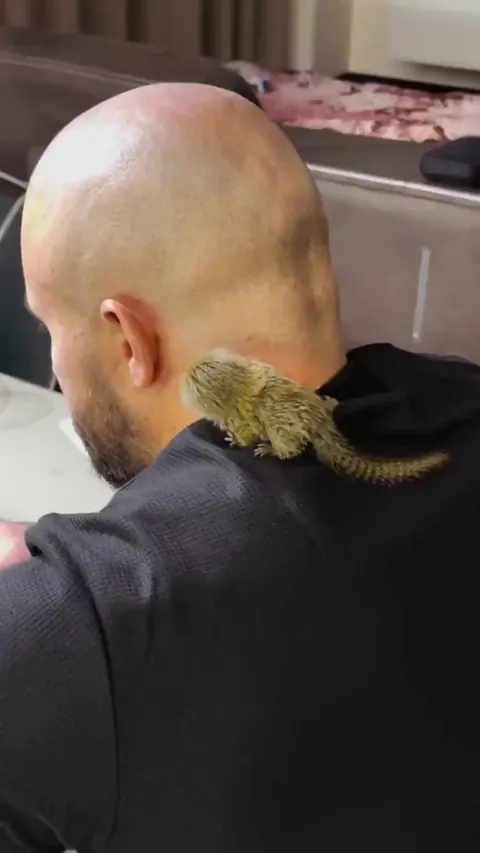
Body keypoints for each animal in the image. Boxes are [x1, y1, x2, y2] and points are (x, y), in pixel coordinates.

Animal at [182, 349, 449, 485]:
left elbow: (247, 433)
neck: (238, 383)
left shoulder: (238, 417)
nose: (185, 370)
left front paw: (236, 441)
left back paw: (274, 449)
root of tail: (319, 421)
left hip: (287, 430)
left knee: (285, 441)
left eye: (191, 380)